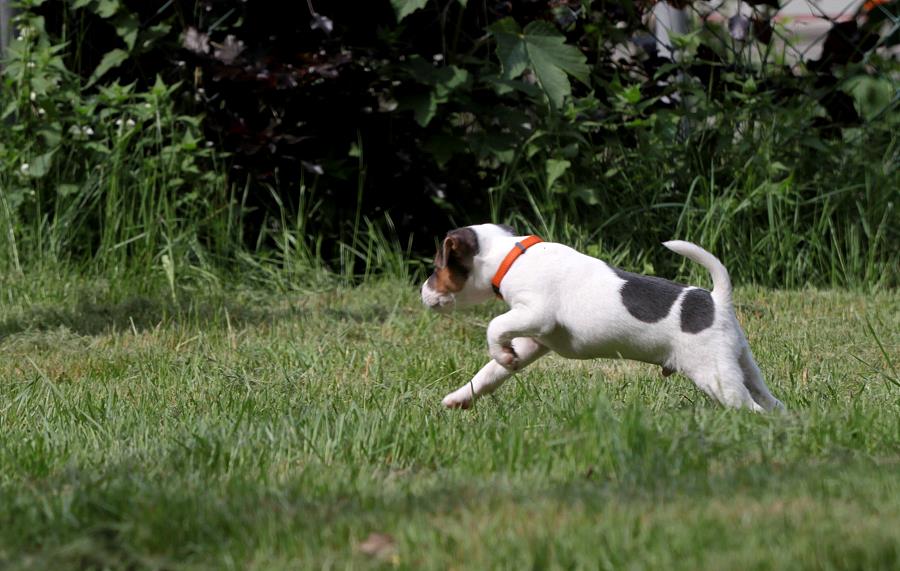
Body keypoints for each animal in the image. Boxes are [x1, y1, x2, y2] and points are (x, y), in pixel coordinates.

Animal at [421, 223, 784, 412]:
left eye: (437, 267)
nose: (422, 291)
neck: (512, 256)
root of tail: (716, 300)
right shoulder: (533, 340)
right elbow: (490, 373)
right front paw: (461, 397)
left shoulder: (536, 315)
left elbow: (495, 326)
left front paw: (500, 352)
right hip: (741, 364)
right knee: (770, 399)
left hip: (715, 375)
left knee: (752, 408)